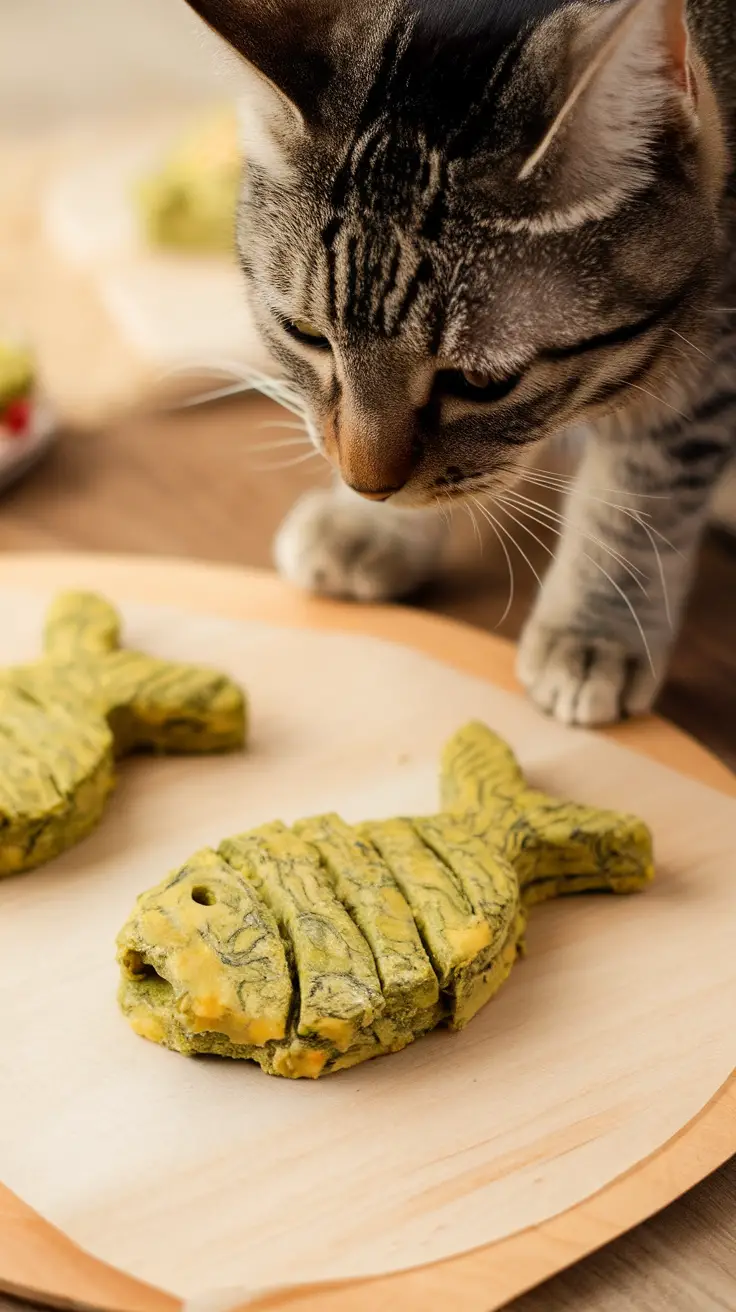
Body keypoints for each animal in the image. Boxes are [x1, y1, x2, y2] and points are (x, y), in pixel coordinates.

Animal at [183, 0, 734, 729]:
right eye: (305, 333)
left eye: (482, 382)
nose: (366, 486)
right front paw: (369, 524)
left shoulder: (711, 361)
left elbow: (635, 496)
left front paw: (595, 628)